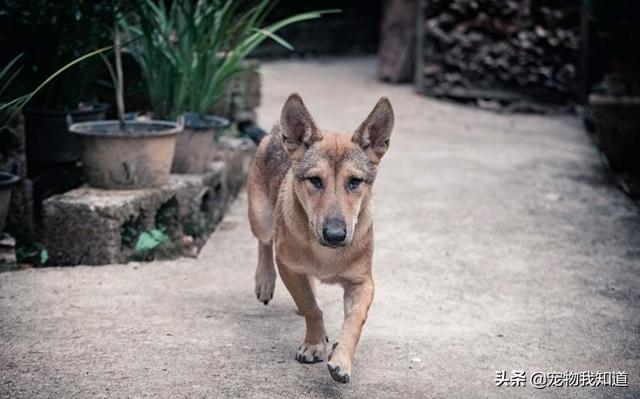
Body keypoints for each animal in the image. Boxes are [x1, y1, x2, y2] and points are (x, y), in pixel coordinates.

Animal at [246, 93, 392, 384]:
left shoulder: (362, 282)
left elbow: (354, 320)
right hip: (260, 217)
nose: (335, 235)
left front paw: (341, 359)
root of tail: (275, 131)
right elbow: (310, 307)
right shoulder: (288, 267)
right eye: (315, 180)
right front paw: (314, 344)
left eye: (355, 182)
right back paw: (265, 281)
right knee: (264, 243)